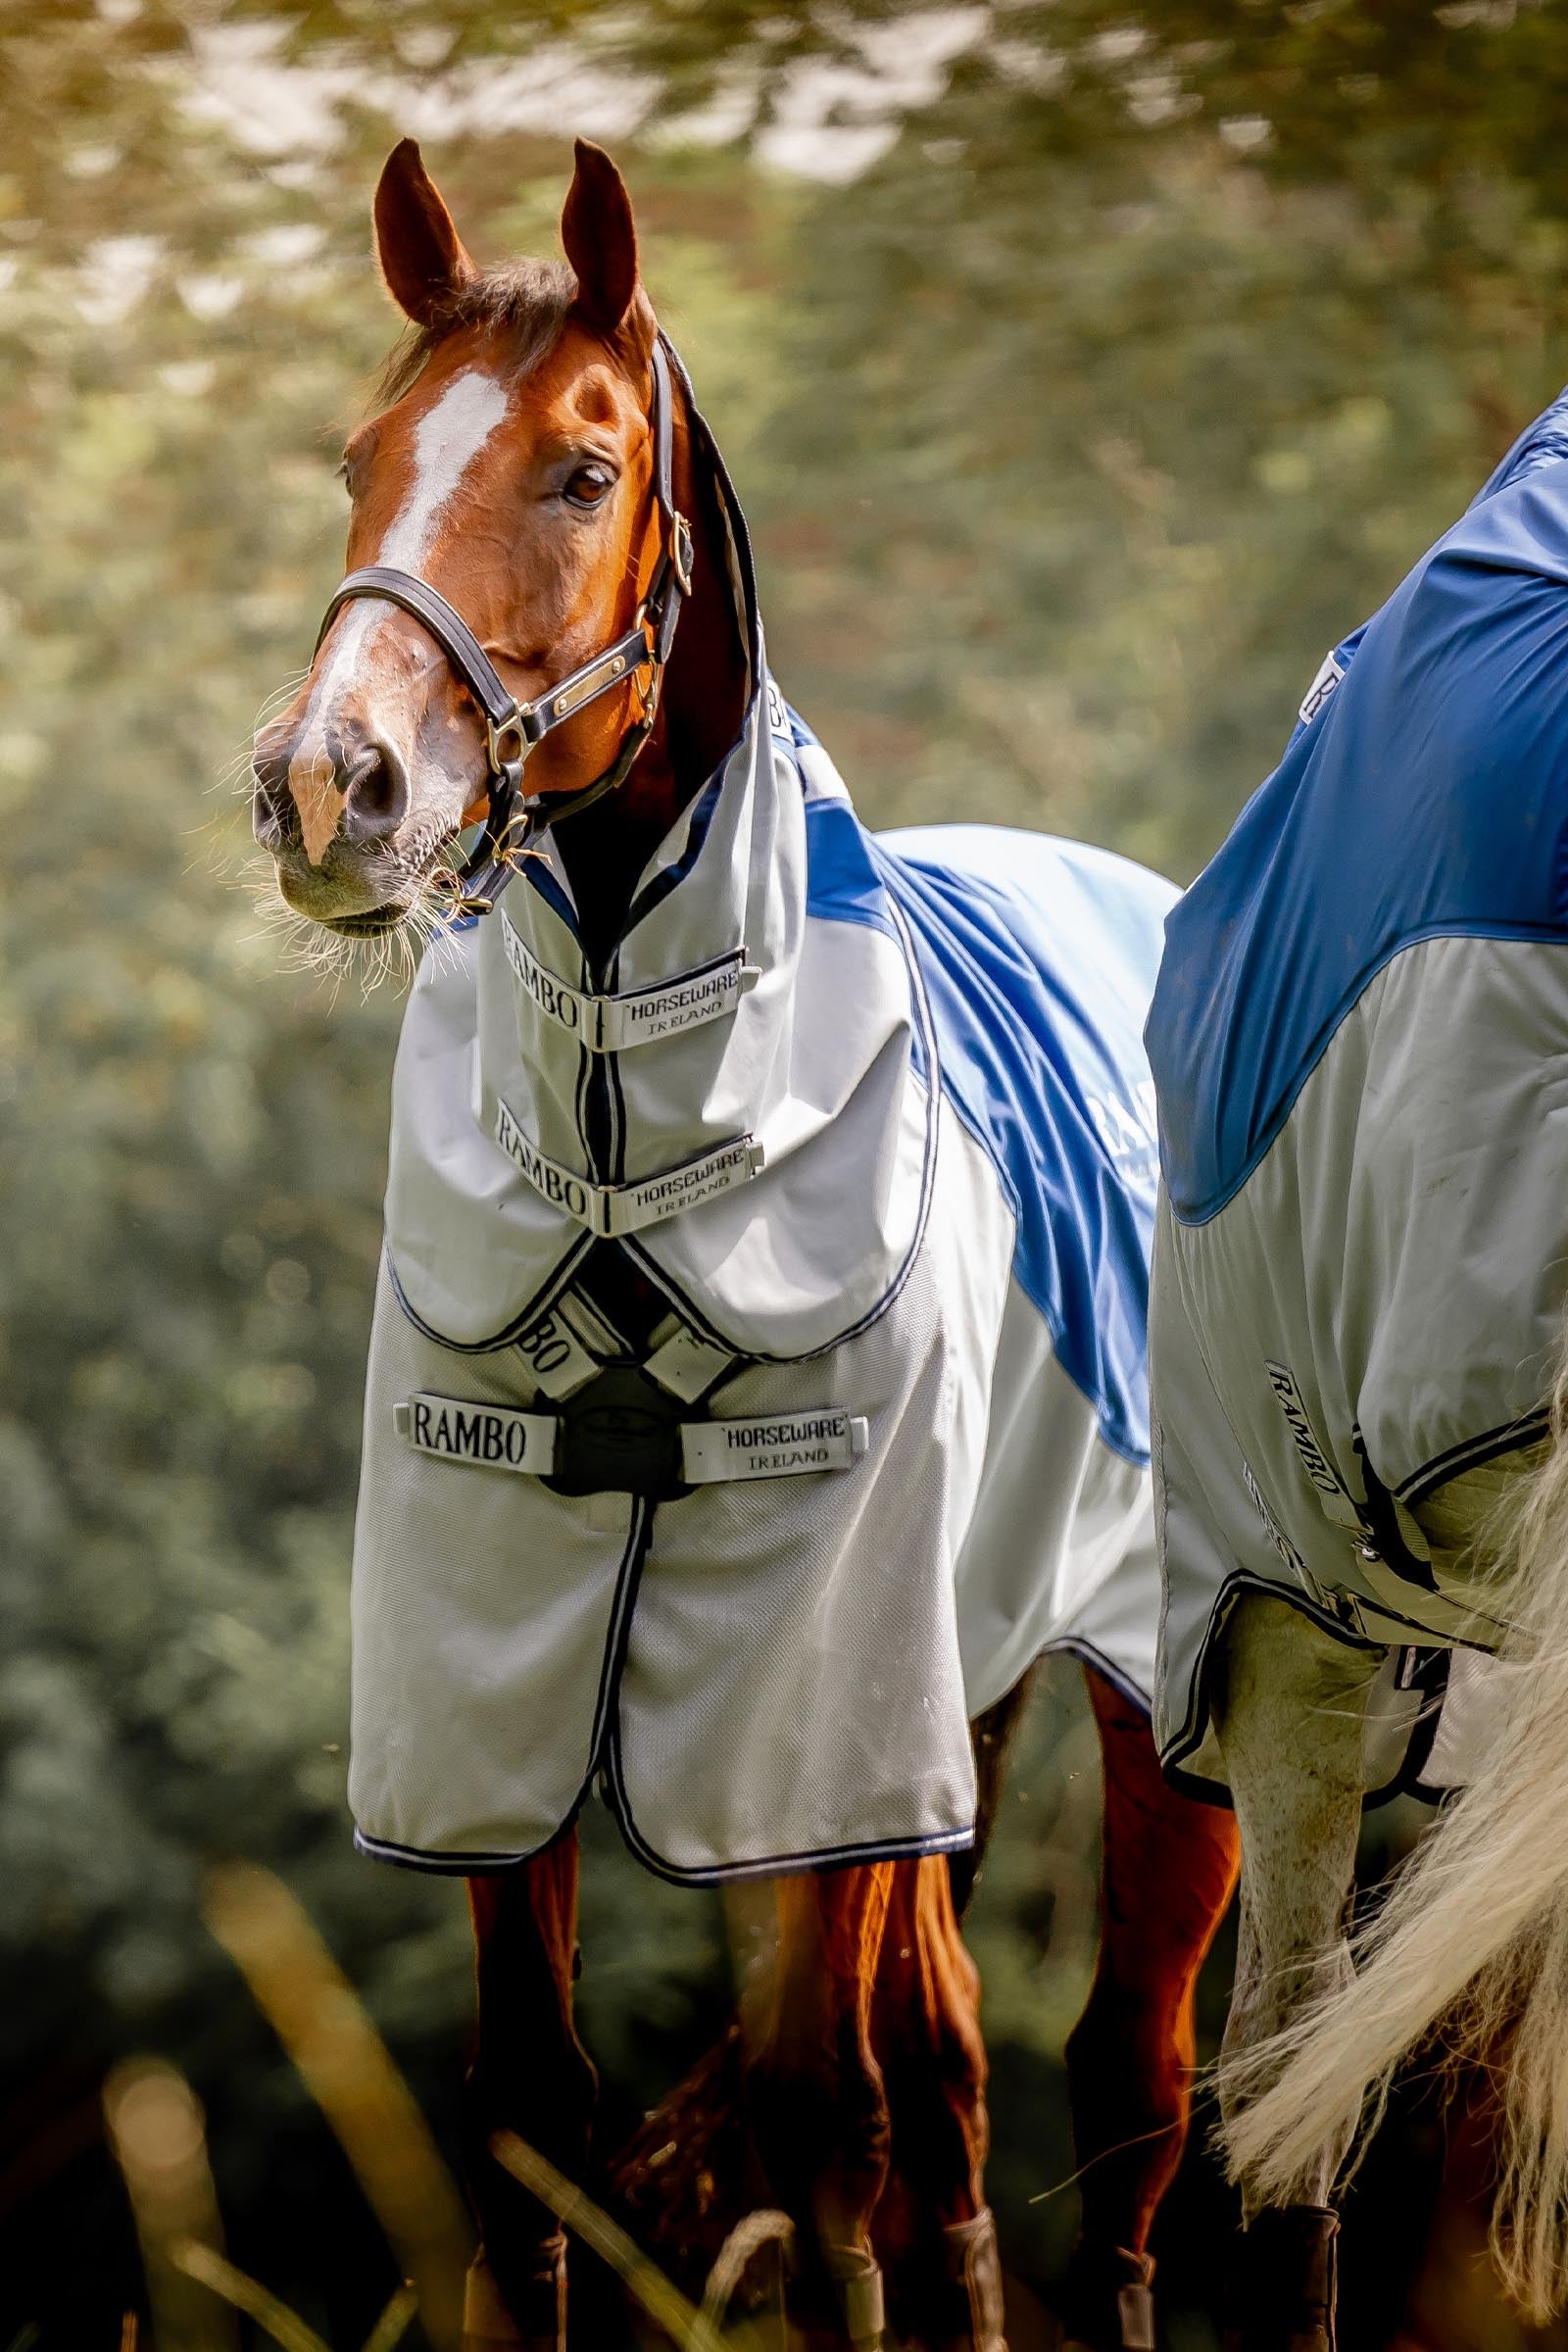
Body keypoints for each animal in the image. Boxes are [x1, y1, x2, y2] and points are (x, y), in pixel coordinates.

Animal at [248, 135, 1234, 2351]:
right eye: (354, 459)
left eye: (583, 469)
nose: (329, 790)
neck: (631, 1151)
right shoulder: (495, 1685)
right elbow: (535, 2113)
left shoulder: (812, 1704)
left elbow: (812, 2108)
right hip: (955, 1693)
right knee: (949, 2094)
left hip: (1156, 1712)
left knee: (1124, 2094)